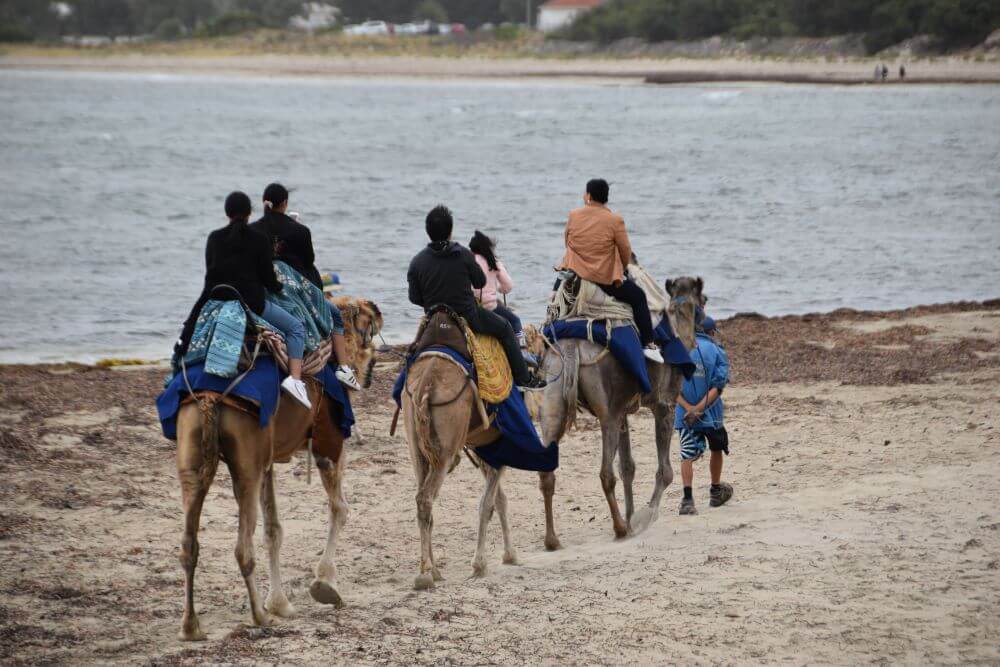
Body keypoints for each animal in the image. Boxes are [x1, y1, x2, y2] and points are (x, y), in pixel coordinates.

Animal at [174, 298, 380, 640]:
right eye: (369, 319)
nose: (375, 353)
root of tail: (210, 399)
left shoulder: (266, 461)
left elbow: (274, 530)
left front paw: (281, 602)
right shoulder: (329, 443)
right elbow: (340, 508)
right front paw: (324, 582)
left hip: (194, 455)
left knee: (189, 542)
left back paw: (191, 627)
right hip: (246, 465)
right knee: (242, 547)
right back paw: (258, 616)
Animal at [532, 276, 704, 548]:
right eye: (703, 300)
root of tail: (571, 348)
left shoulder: (623, 412)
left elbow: (628, 467)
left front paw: (632, 516)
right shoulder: (664, 404)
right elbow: (664, 471)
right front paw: (645, 516)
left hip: (552, 399)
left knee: (546, 471)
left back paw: (552, 540)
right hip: (607, 414)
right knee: (605, 473)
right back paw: (619, 529)